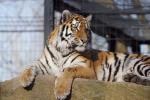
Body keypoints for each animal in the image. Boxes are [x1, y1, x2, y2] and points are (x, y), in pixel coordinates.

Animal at [19, 9, 150, 100]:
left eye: (87, 29)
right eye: (76, 27)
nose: (85, 40)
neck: (61, 50)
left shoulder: (87, 68)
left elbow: (68, 70)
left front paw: (61, 91)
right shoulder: (45, 65)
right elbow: (30, 65)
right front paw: (24, 79)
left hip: (137, 62)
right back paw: (130, 77)